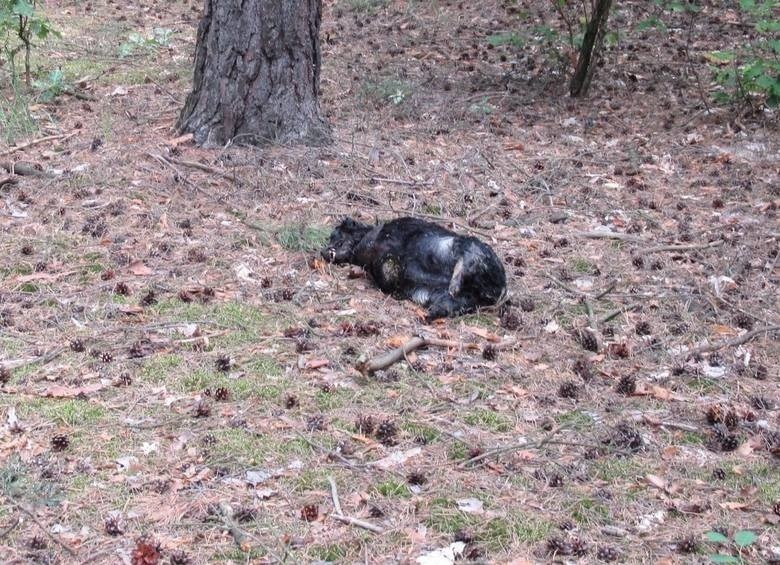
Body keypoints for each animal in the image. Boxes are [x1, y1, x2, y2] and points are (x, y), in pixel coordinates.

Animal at [322, 216, 506, 320]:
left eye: (334, 234)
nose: (323, 251)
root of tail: (501, 291)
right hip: (458, 300)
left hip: (467, 245)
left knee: (467, 258)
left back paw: (455, 282)